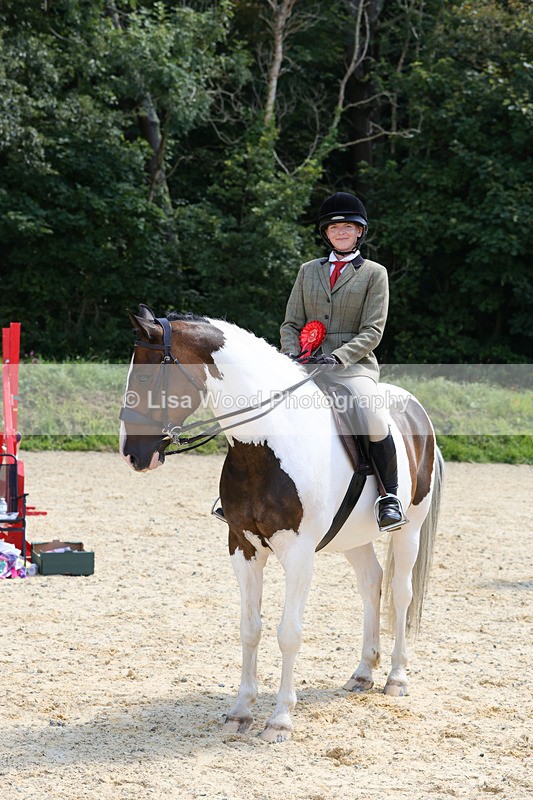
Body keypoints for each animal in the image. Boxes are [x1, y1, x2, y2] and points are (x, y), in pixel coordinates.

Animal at [120, 305, 444, 743]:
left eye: (143, 376)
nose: (132, 454)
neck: (265, 445)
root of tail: (415, 409)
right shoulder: (242, 546)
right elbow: (249, 628)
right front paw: (241, 711)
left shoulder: (299, 553)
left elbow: (289, 633)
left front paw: (279, 719)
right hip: (352, 536)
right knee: (370, 583)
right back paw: (363, 672)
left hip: (409, 529)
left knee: (400, 592)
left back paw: (396, 677)